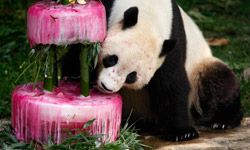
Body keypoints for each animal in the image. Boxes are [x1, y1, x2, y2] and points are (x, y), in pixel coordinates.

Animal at [94, 0, 243, 141]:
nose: (106, 87)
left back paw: (223, 120)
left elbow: (172, 82)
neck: (148, 15)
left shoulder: (171, 43)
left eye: (132, 76)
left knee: (218, 80)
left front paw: (182, 133)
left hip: (199, 68)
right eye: (111, 59)